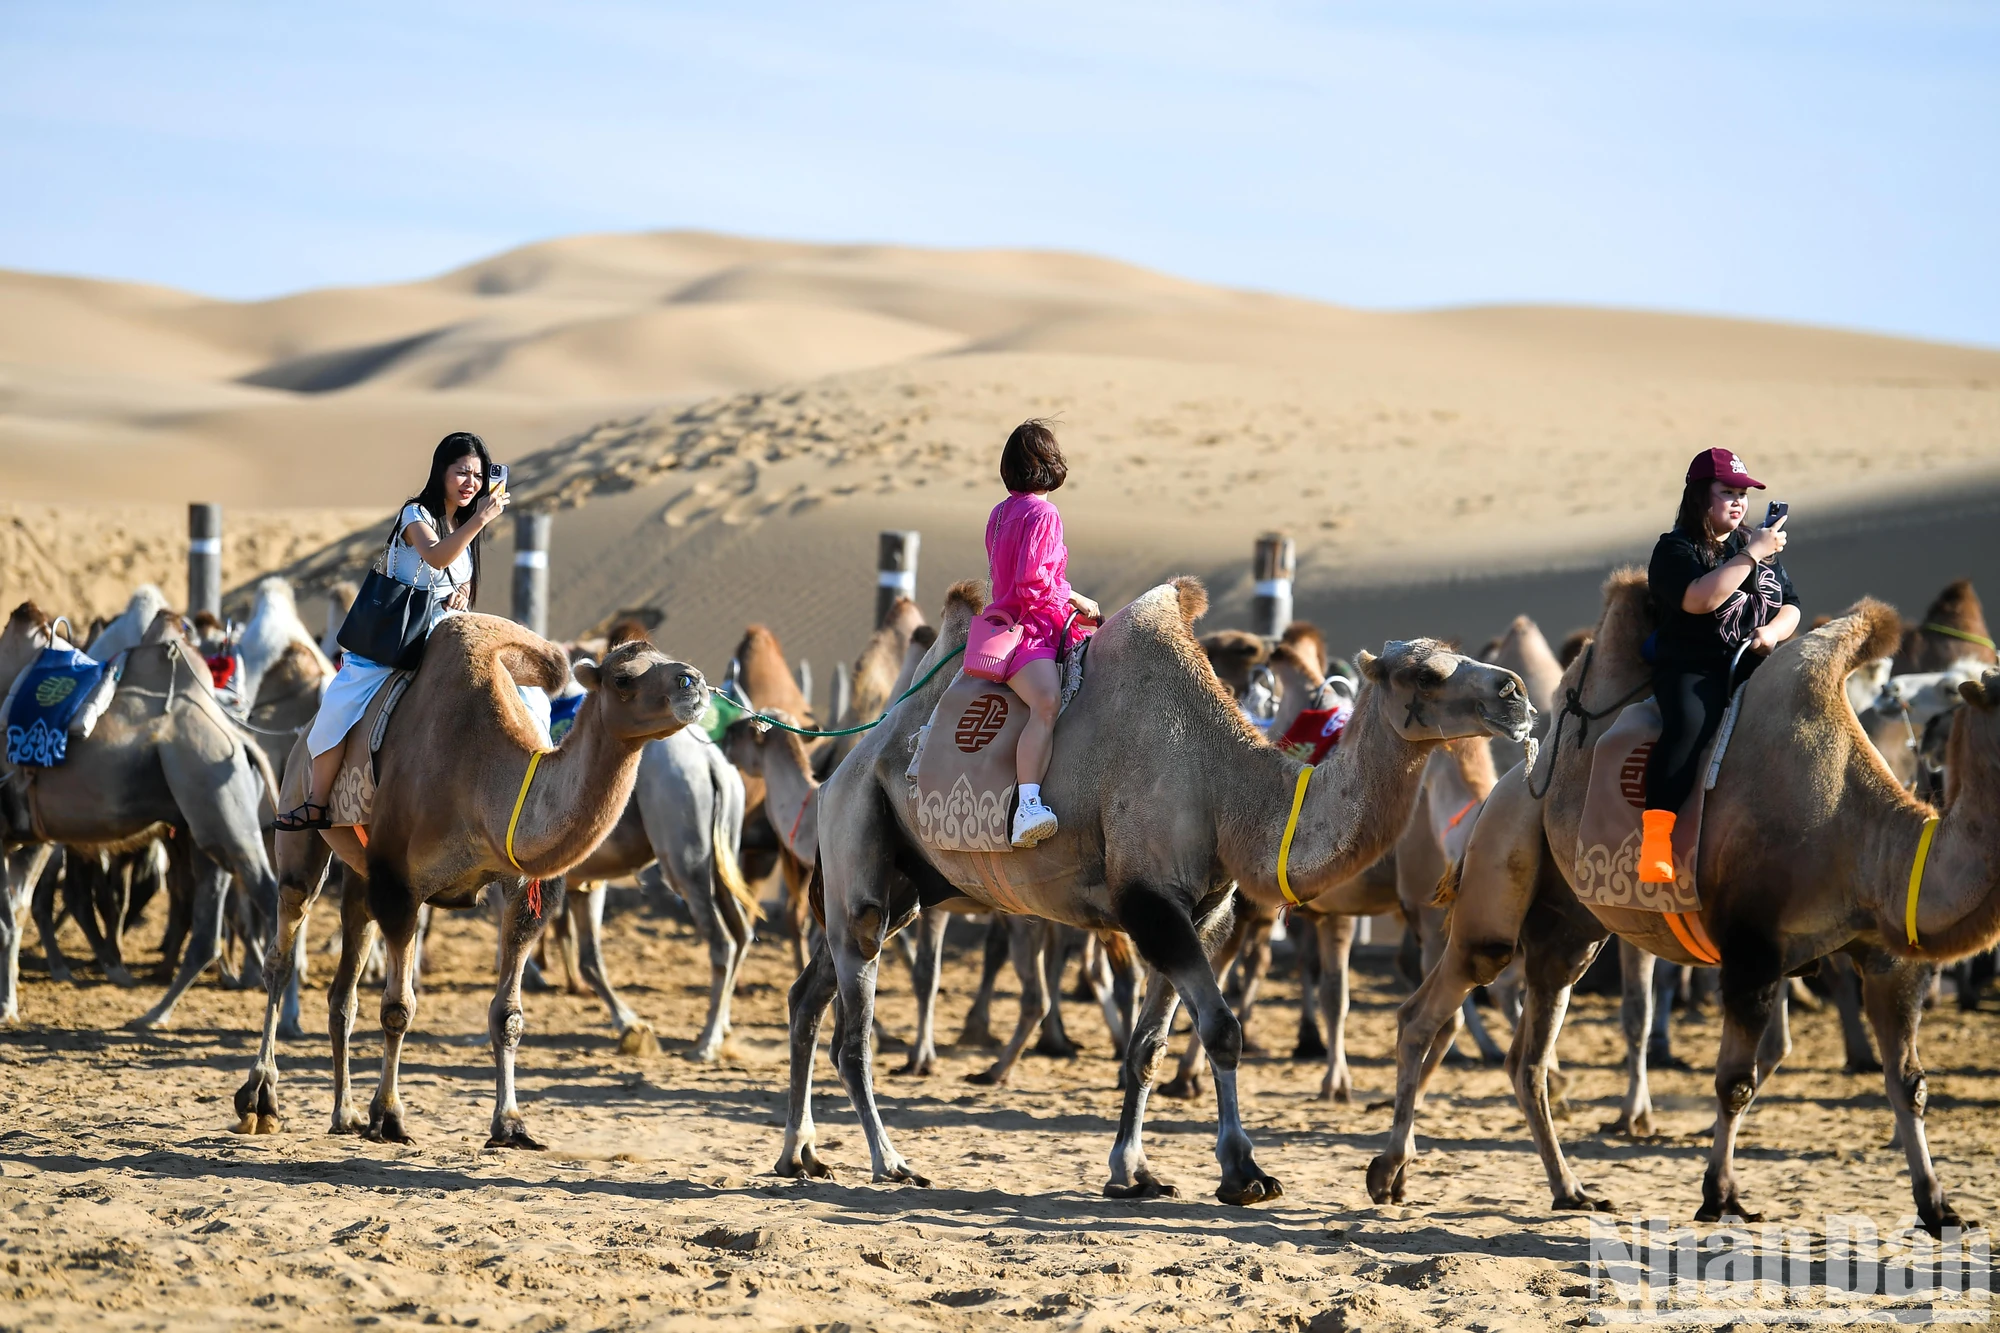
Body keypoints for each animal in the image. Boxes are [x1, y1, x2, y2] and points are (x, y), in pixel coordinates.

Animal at [0, 596, 282, 1020]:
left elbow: (14, 911)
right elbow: (14, 911)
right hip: (204, 830)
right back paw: (156, 1011)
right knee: (208, 922)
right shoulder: (27, 834)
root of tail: (240, 740)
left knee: (264, 895)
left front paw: (7, 1006)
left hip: (223, 815)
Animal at [232, 612, 712, 1144]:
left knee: (343, 992)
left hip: (359, 873)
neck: (482, 777)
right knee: (281, 951)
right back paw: (261, 1099)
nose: (693, 681)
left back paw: (345, 1113)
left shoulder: (521, 887)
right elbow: (398, 1008)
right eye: (624, 678)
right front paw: (390, 1116)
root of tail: (303, 734)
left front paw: (510, 1123)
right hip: (300, 828)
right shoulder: (400, 886)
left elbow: (508, 1015)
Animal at [780, 576, 1528, 1200]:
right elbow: (1222, 1029)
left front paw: (1132, 1171)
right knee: (853, 1033)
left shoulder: (1199, 914)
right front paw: (1243, 1171)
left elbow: (1146, 1049)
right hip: (859, 848)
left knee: (808, 996)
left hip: (901, 883)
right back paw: (889, 1161)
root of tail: (841, 764)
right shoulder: (1149, 901)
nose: (1515, 693)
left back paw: (799, 1153)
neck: (1227, 791)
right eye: (1424, 672)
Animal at [1360, 576, 2000, 1232]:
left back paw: (1570, 1190)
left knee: (1527, 1057)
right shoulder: (1751, 950)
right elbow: (1735, 1083)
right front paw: (1719, 1196)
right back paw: (1388, 1174)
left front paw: (1939, 1205)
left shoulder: (1884, 957)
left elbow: (1909, 1084)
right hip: (1499, 869)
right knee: (1431, 1009)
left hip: (1569, 930)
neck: (1861, 835)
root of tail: (1503, 787)